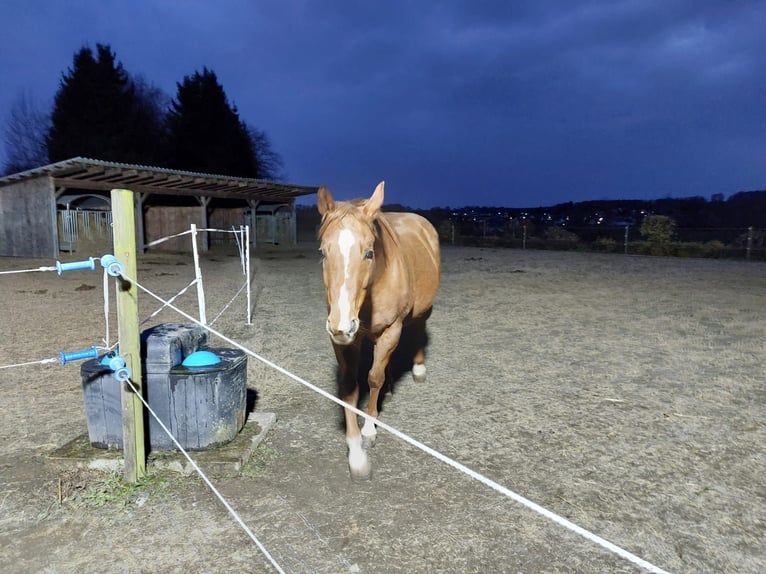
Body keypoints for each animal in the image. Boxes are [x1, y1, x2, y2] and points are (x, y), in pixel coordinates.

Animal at [317, 181, 441, 480]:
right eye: (323, 252)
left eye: (369, 252)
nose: (341, 325)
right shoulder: (345, 341)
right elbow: (349, 388)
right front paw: (356, 455)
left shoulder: (391, 330)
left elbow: (373, 378)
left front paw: (369, 430)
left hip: (421, 313)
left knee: (418, 332)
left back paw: (418, 369)